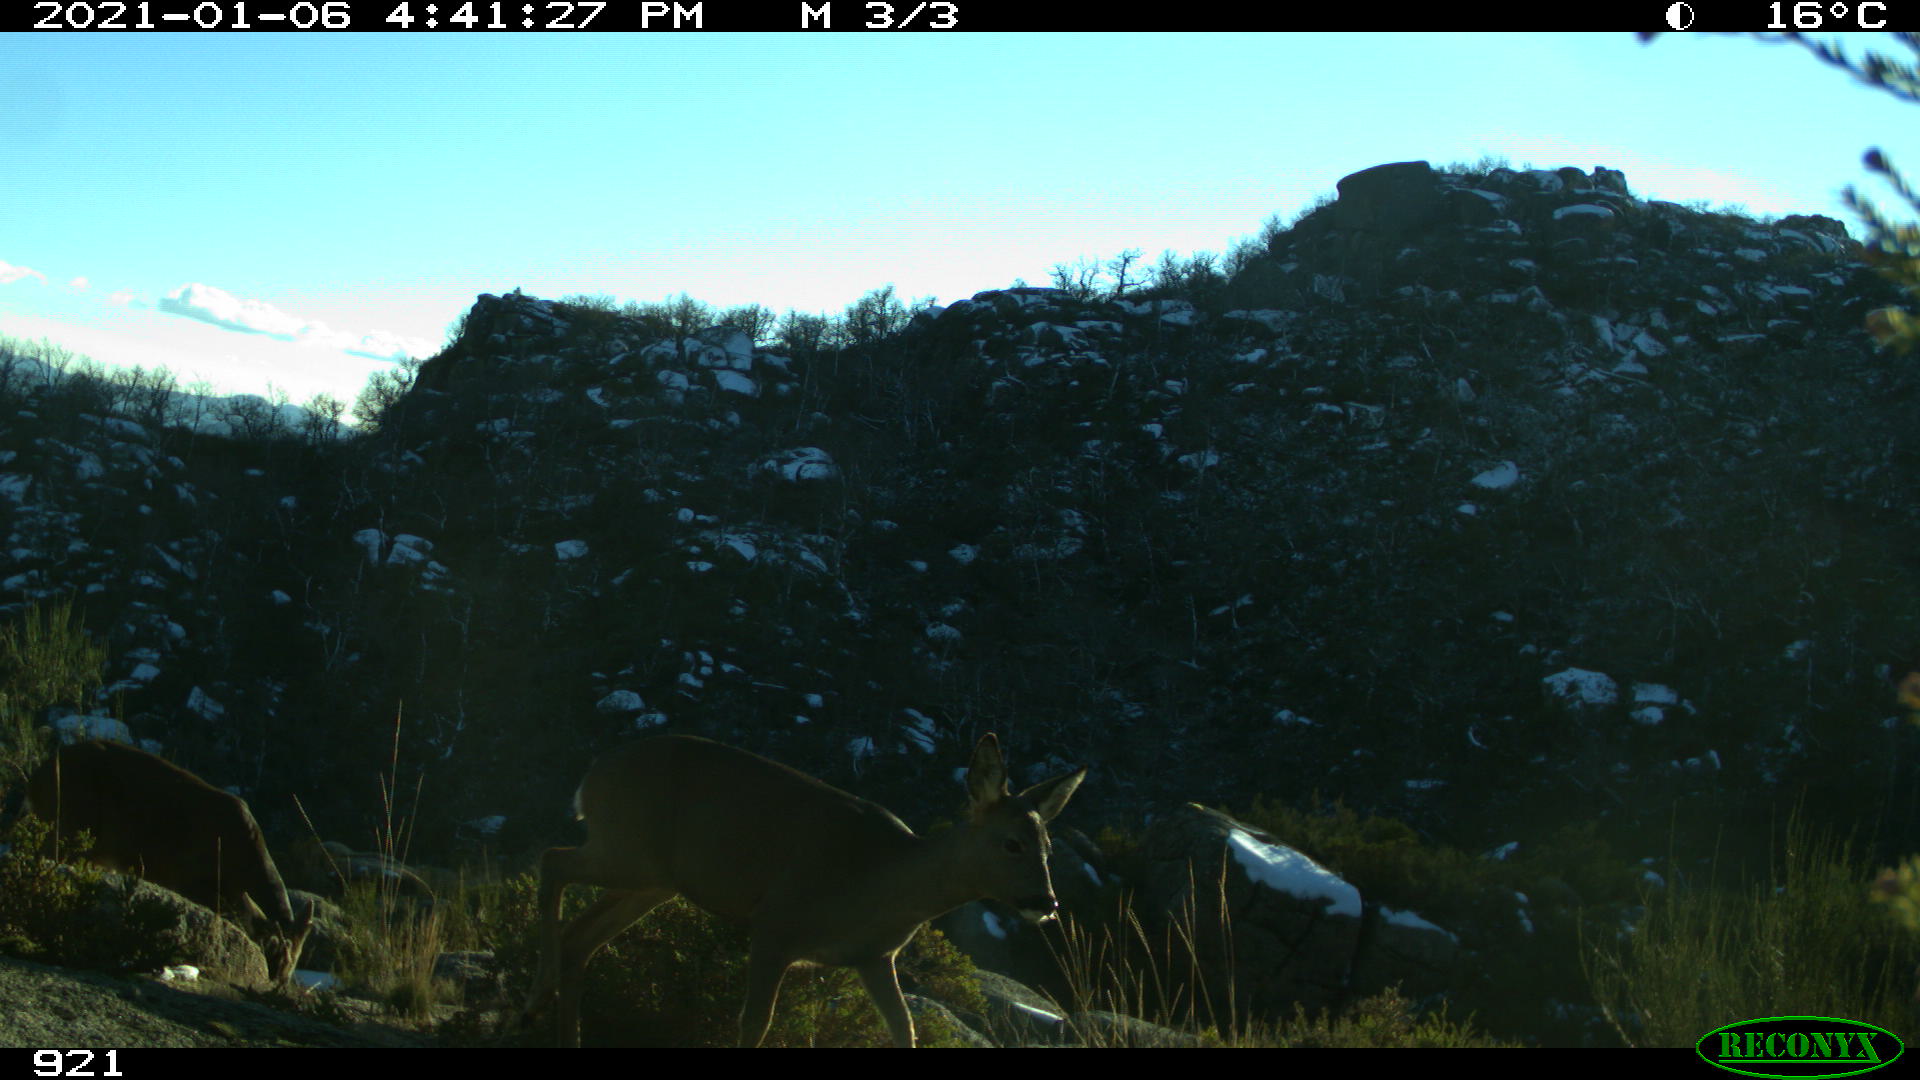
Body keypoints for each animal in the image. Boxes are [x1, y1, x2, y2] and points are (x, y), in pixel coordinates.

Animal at [21, 740, 314, 986]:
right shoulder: (190, 879)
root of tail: (36, 777)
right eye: (281, 953)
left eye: (298, 957)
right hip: (70, 821)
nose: (280, 982)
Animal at [520, 732, 1086, 1048]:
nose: (1047, 902)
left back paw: (561, 1026)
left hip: (652, 880)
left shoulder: (869, 957)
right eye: (1011, 843)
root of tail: (592, 773)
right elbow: (755, 1024)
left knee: (581, 934)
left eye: (1048, 846)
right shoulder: (775, 924)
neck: (882, 882)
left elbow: (903, 1031)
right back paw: (535, 995)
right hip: (626, 850)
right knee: (551, 862)